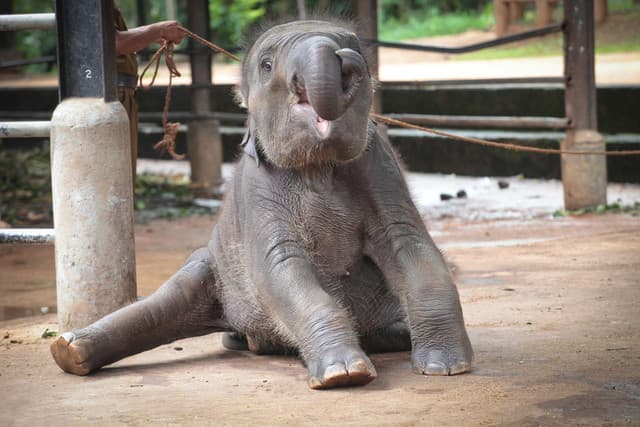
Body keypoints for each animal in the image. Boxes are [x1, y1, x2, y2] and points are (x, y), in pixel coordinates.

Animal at [50, 19, 473, 389]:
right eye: (267, 65)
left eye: (354, 44)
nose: (347, 57)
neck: (318, 166)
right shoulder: (256, 189)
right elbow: (281, 266)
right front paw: (343, 375)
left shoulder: (380, 166)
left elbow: (409, 245)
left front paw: (446, 367)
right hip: (212, 266)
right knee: (168, 302)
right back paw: (68, 351)